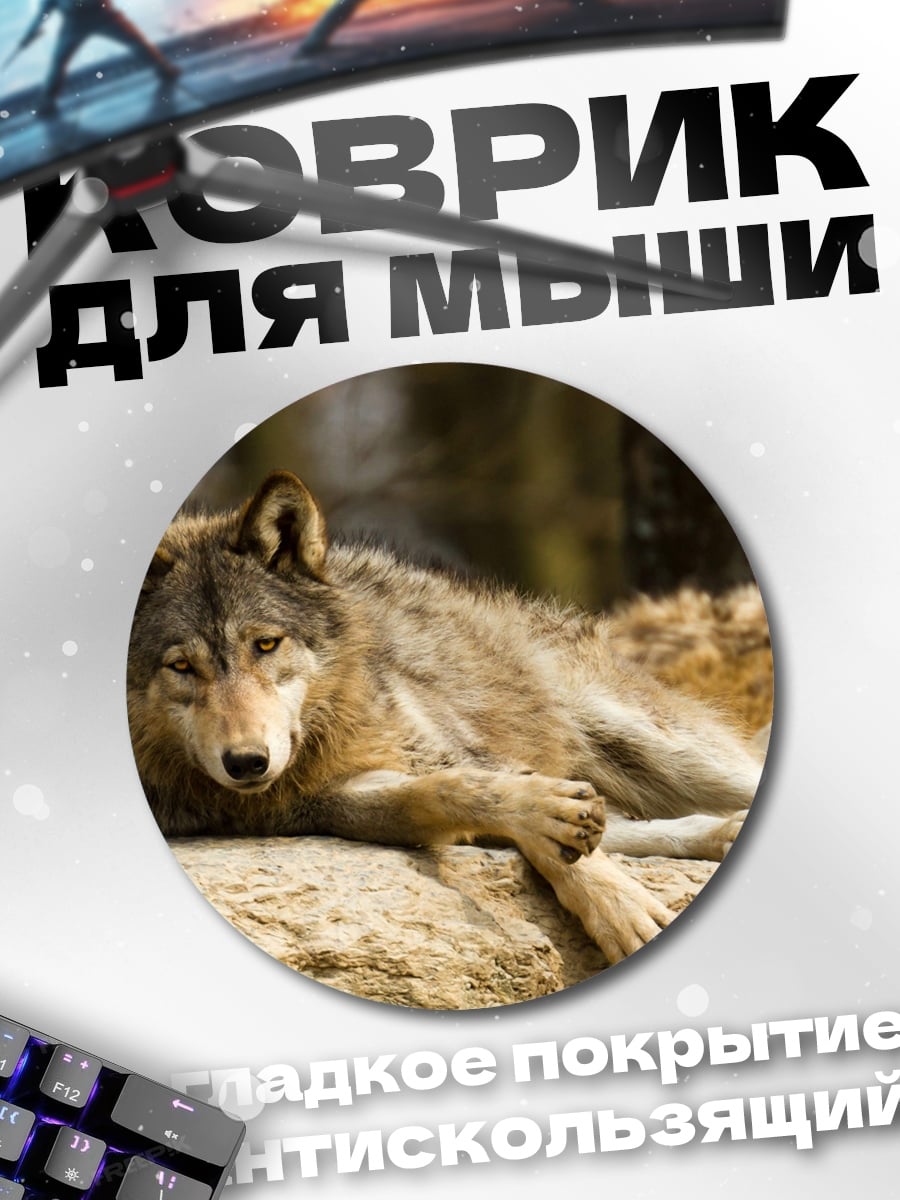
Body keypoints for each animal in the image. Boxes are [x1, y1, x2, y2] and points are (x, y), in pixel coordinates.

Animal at [127, 471, 767, 965]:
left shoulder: (460, 749)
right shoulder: (337, 802)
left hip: (664, 747)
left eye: (265, 645)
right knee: (638, 825)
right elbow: (448, 794)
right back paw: (722, 835)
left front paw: (613, 897)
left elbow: (539, 819)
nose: (246, 762)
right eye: (182, 666)